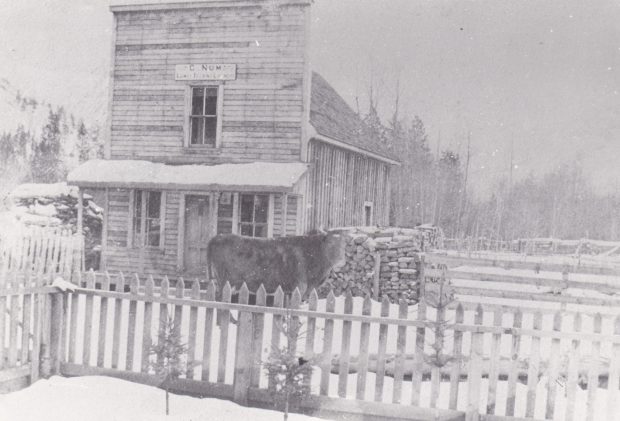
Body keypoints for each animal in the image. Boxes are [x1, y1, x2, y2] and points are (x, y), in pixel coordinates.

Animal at [207, 231, 344, 296]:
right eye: (330, 244)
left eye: (345, 245)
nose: (341, 262)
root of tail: (218, 236)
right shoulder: (299, 286)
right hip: (224, 279)